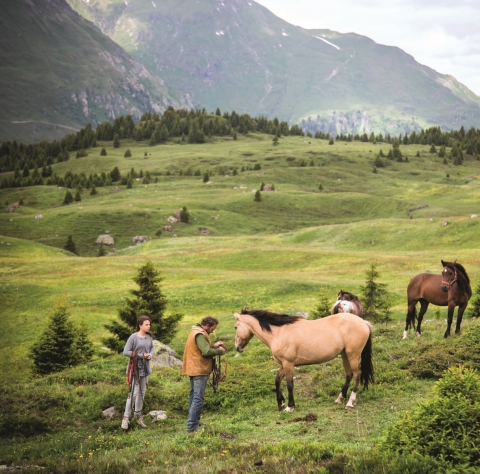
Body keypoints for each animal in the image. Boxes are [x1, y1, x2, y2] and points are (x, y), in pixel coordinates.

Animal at [233, 308, 376, 412]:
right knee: (349, 374)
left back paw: (350, 402)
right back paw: (339, 399)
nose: (237, 347)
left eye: (235, 327)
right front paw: (280, 403)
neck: (279, 332)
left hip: (353, 355)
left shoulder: (289, 364)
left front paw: (290, 406)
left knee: (357, 374)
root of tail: (363, 322)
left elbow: (289, 384)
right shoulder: (283, 364)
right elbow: (277, 381)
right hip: (345, 355)